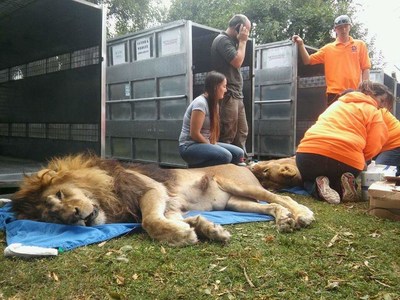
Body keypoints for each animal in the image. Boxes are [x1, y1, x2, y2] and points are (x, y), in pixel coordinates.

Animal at [10, 155, 314, 246]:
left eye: (60, 195)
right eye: (53, 216)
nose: (73, 215)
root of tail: (244, 163)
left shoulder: (152, 190)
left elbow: (150, 221)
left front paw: (183, 236)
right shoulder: (171, 205)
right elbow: (181, 220)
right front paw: (210, 230)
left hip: (238, 184)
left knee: (279, 196)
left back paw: (302, 214)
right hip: (234, 203)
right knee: (270, 206)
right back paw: (285, 220)